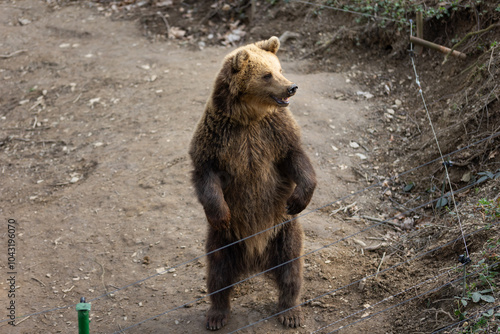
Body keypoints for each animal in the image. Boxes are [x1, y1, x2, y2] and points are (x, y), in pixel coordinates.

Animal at [188, 37, 316, 332]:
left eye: (279, 68)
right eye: (266, 74)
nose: (291, 87)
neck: (248, 117)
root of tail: (256, 260)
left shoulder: (275, 133)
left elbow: (297, 158)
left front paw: (298, 199)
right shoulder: (217, 138)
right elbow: (205, 174)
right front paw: (221, 214)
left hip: (283, 231)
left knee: (292, 268)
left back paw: (290, 311)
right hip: (224, 241)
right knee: (219, 272)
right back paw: (217, 314)